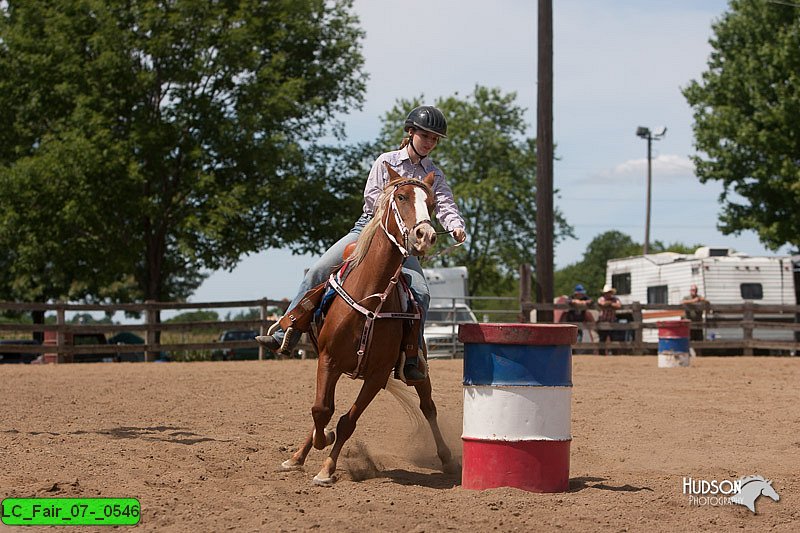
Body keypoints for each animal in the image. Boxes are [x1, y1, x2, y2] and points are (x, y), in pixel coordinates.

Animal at [282, 167, 460, 486]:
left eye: (431, 203)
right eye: (401, 197)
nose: (425, 235)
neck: (371, 295)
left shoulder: (376, 376)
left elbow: (346, 421)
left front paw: (326, 468)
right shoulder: (328, 360)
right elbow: (321, 411)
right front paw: (319, 445)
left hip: (419, 370)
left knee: (428, 407)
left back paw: (447, 458)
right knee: (322, 412)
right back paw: (297, 456)